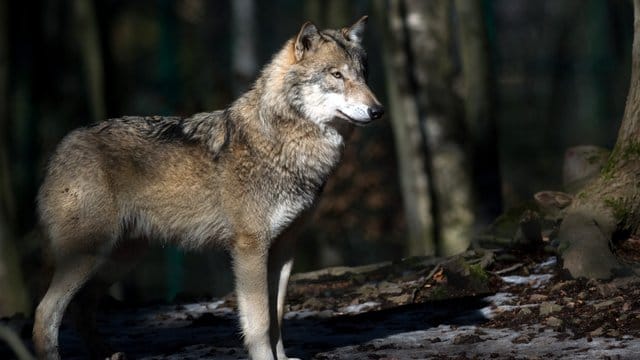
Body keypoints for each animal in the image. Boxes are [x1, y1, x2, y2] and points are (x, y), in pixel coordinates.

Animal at [32, 15, 382, 358]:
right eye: (336, 74)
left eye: (363, 75)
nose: (378, 110)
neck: (283, 143)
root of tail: (61, 147)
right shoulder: (249, 248)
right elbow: (260, 322)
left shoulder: (284, 250)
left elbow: (278, 317)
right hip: (88, 255)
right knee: (45, 313)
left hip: (122, 258)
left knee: (81, 307)